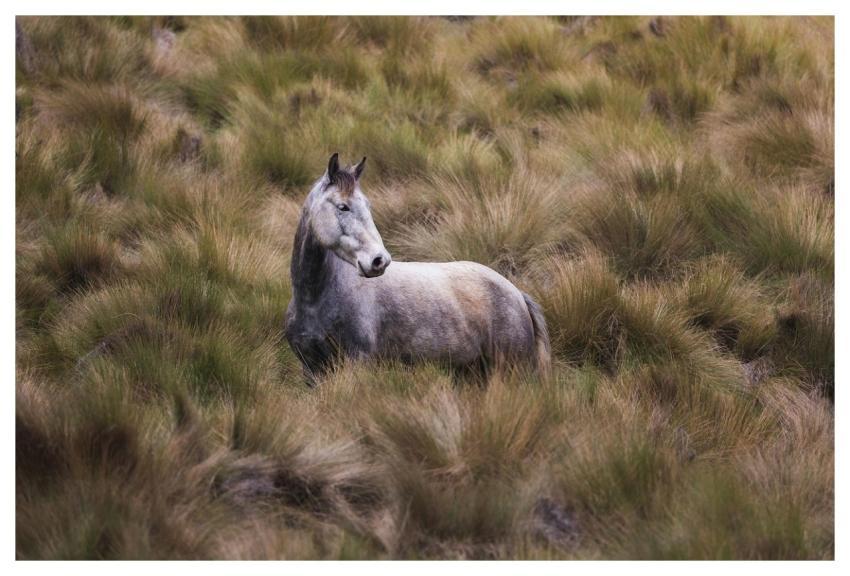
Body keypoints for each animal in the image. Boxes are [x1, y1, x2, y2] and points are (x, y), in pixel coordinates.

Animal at [284, 153, 551, 385]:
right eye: (343, 207)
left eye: (368, 206)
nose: (379, 261)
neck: (315, 299)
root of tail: (516, 293)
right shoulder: (311, 370)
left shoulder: (357, 362)